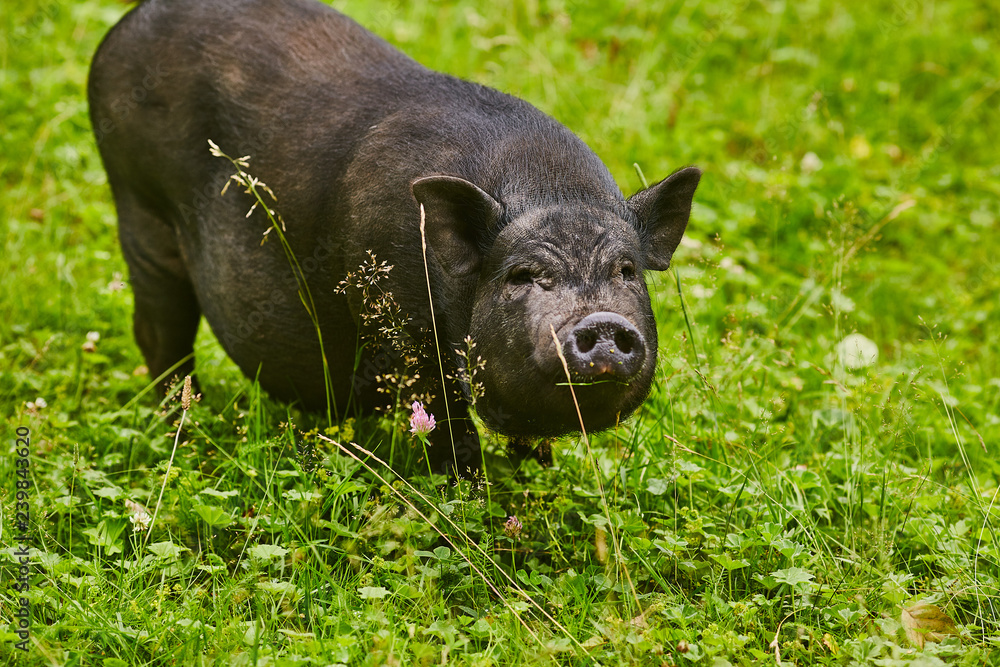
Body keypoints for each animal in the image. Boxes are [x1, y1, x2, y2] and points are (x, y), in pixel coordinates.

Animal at [88, 0, 700, 476]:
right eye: (522, 275)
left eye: (626, 271)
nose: (602, 322)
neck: (550, 192)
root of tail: (125, 26)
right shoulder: (405, 333)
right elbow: (451, 432)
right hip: (138, 207)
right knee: (160, 332)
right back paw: (181, 429)